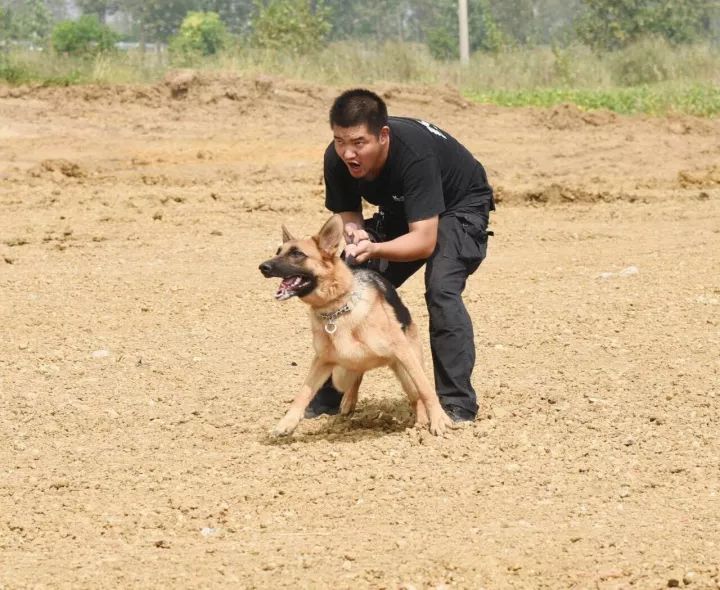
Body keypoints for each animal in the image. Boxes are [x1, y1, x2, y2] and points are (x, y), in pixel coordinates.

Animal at [258, 215, 450, 438]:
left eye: (297, 254)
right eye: (278, 251)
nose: (263, 267)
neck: (337, 308)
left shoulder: (403, 353)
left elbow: (426, 389)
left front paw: (439, 420)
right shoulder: (322, 361)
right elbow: (303, 393)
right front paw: (286, 423)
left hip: (404, 368)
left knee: (415, 393)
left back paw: (420, 423)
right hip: (342, 373)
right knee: (357, 376)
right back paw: (349, 401)